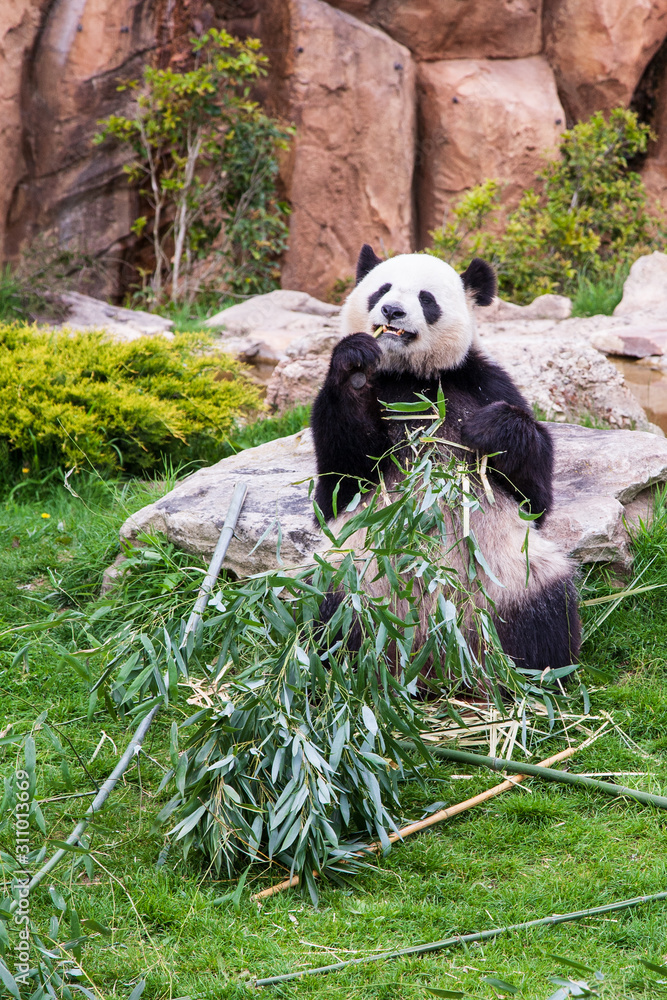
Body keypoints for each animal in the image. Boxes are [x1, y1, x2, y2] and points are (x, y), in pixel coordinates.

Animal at [310, 246, 580, 676]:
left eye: (426, 299)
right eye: (381, 289)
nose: (392, 311)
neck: (412, 377)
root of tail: (436, 646)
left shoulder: (482, 382)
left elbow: (534, 498)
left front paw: (491, 429)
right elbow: (339, 484)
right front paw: (354, 368)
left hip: (513, 577)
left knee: (547, 616)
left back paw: (534, 673)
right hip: (352, 579)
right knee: (336, 620)